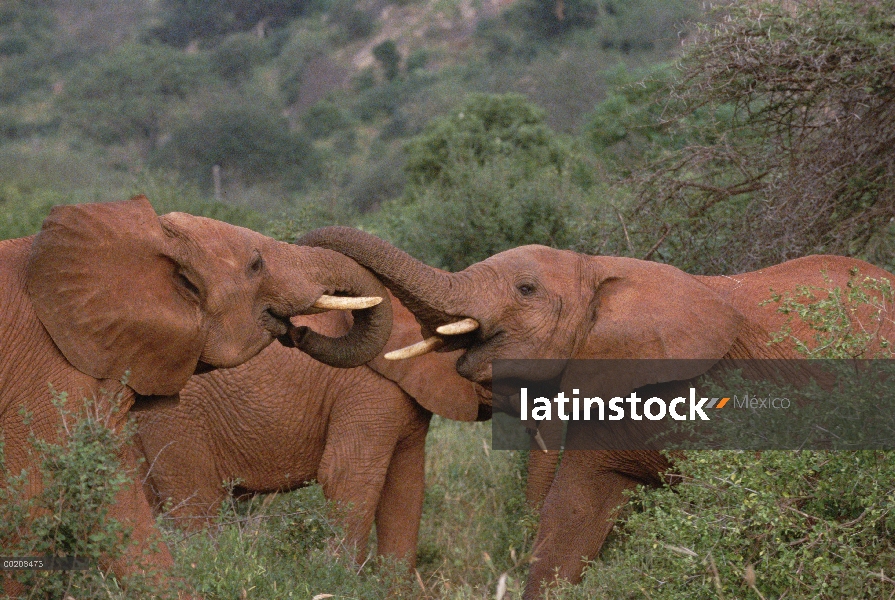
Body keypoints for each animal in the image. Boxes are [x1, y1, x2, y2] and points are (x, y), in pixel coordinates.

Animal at [131, 296, 490, 568]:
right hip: (177, 417)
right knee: (198, 503)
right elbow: (348, 478)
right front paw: (340, 582)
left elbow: (406, 489)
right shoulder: (367, 393)